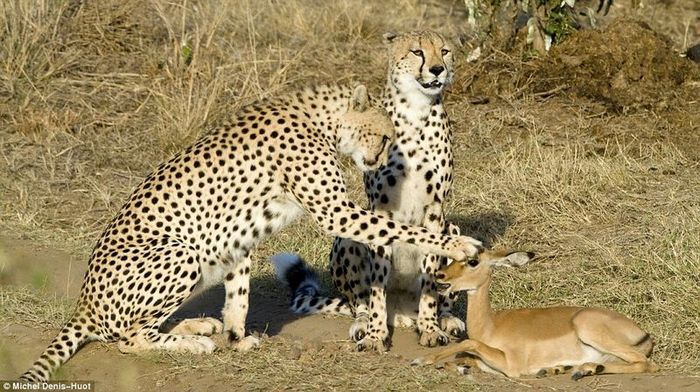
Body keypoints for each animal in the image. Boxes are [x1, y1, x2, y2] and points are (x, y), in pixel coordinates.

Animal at [20, 84, 482, 382]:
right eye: (385, 135)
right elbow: (398, 227)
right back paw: (191, 343)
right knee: (127, 339)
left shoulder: (237, 239)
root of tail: (83, 301)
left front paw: (236, 338)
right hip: (181, 253)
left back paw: (197, 327)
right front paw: (458, 244)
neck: (321, 119)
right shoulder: (336, 212)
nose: (382, 161)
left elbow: (238, 295)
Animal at [274, 29, 470, 350]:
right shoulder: (380, 207)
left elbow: (430, 275)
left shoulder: (435, 209)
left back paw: (446, 320)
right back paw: (363, 324)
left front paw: (431, 328)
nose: (437, 70)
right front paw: (376, 334)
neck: (416, 111)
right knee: (359, 302)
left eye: (444, 51)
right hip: (346, 239)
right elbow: (377, 281)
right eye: (417, 52)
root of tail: (401, 313)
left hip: (451, 227)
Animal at [412, 251, 660, 380]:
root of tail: (644, 334)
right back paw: (569, 369)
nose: (440, 275)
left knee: (647, 364)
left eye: (473, 261)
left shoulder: (511, 365)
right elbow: (463, 355)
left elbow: (467, 344)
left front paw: (421, 359)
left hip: (588, 328)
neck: (490, 326)